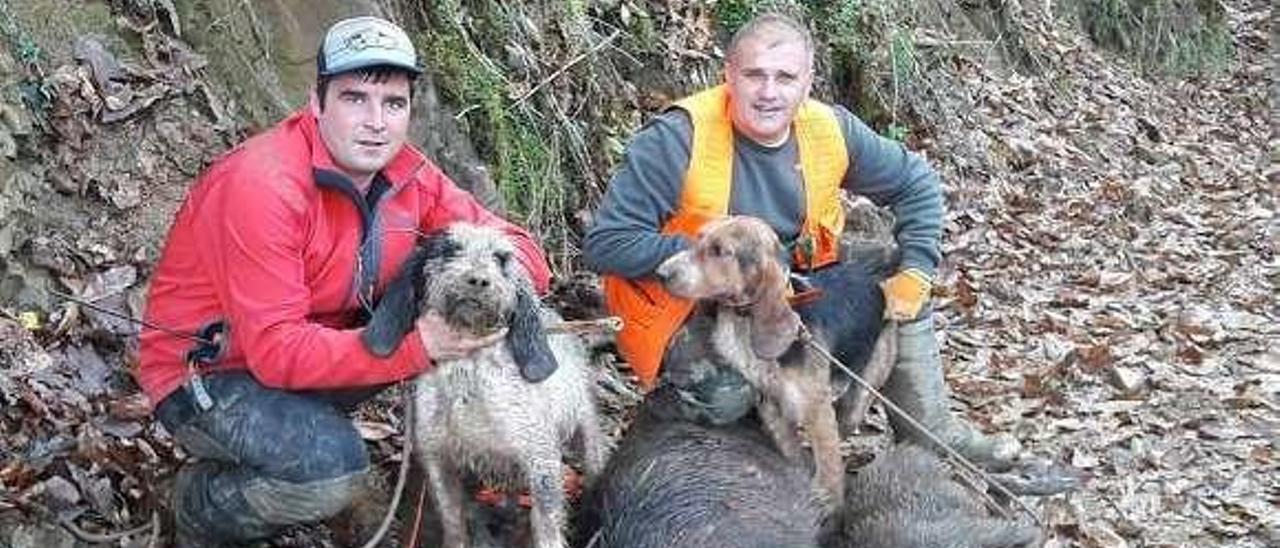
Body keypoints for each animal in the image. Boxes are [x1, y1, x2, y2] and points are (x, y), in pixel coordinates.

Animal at [363, 222, 606, 548]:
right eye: (451, 248)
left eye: (501, 258)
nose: (478, 280)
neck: (468, 378)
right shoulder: (438, 460)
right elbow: (454, 523)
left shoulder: (540, 461)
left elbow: (546, 526)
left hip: (586, 430)